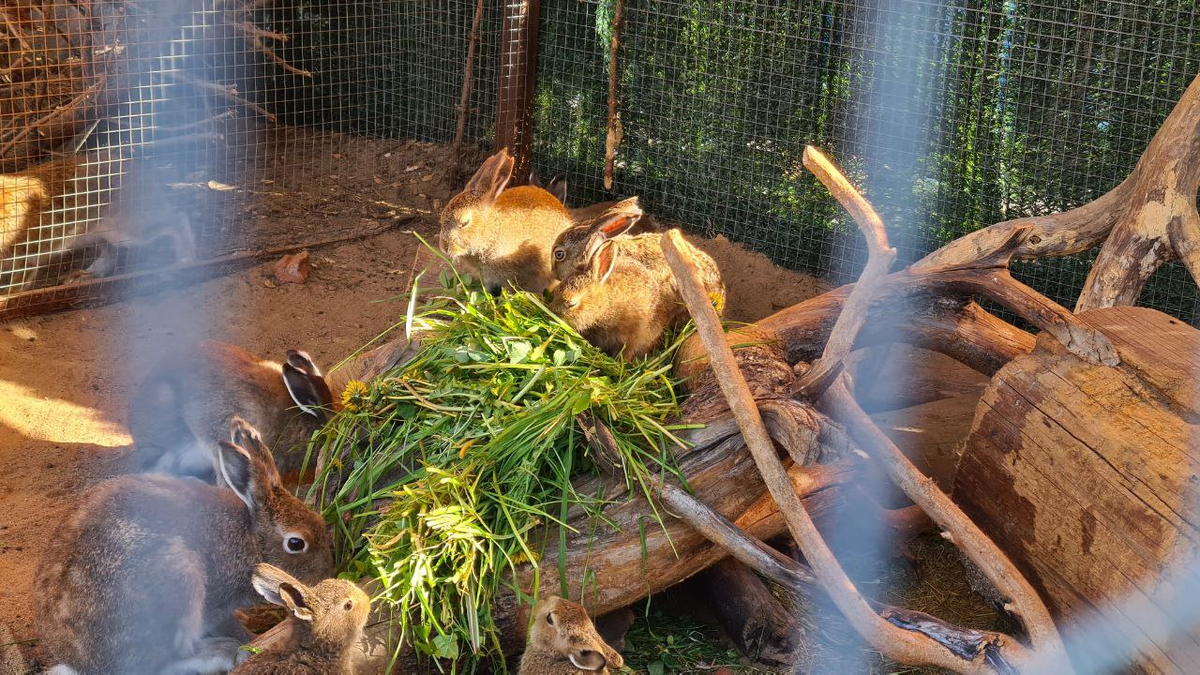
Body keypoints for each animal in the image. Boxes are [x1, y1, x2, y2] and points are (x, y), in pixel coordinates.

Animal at [34, 415, 333, 672]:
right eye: (296, 543)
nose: (324, 574)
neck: (250, 538)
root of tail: (80, 662)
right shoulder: (215, 604)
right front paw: (248, 640)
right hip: (180, 580)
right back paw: (223, 652)